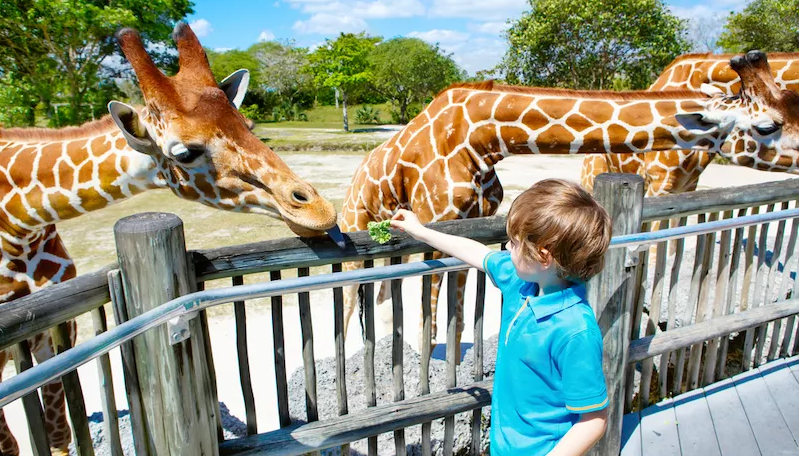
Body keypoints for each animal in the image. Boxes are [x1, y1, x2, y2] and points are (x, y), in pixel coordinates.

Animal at [0, 22, 340, 456]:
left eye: (248, 126)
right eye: (185, 152)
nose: (319, 211)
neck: (20, 221)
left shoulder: (58, 329)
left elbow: (59, 433)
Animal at [340, 50, 799, 356]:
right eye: (769, 125)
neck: (484, 137)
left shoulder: (470, 219)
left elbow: (454, 309)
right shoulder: (437, 217)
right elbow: (433, 314)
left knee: (380, 295)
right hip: (354, 223)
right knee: (349, 299)